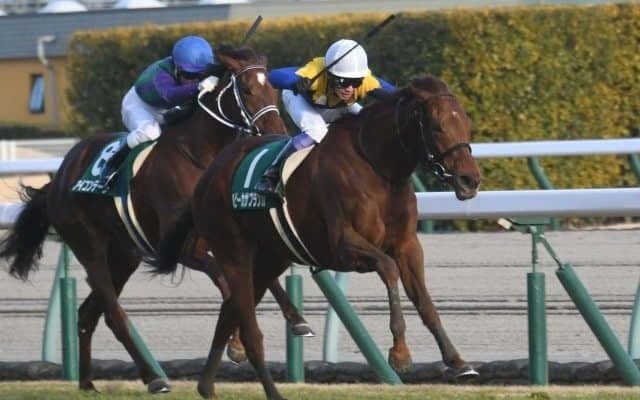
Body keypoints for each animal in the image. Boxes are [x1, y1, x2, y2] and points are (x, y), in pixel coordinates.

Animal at [0, 45, 312, 394]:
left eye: (273, 88)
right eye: (246, 89)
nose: (276, 133)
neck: (197, 155)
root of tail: (60, 177)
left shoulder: (224, 237)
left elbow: (259, 280)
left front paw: (297, 320)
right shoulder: (182, 248)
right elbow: (229, 286)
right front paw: (236, 343)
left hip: (124, 256)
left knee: (88, 314)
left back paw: (88, 383)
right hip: (88, 245)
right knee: (114, 314)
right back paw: (154, 378)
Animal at [150, 74, 482, 399]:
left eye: (466, 122)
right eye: (437, 126)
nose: (470, 180)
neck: (376, 167)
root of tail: (209, 173)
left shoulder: (407, 245)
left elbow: (424, 301)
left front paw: (458, 362)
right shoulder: (341, 247)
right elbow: (388, 269)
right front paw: (400, 354)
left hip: (271, 258)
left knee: (229, 310)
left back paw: (207, 385)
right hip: (234, 252)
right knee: (246, 322)